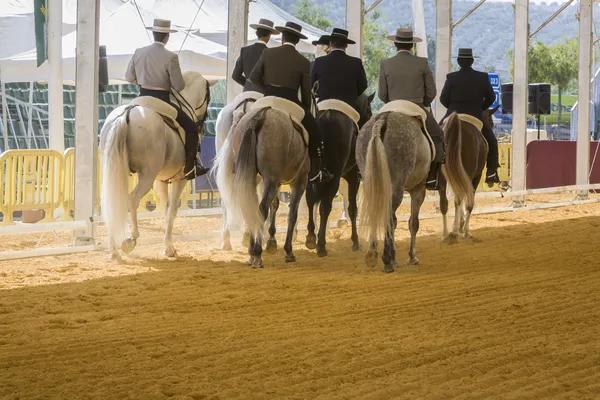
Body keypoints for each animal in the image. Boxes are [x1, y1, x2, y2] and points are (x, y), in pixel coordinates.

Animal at [102, 71, 213, 260]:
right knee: (132, 198)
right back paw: (130, 240)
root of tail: (127, 113)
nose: (202, 129)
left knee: (113, 201)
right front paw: (168, 248)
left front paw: (168, 246)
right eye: (208, 97)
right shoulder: (180, 179)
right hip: (146, 176)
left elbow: (165, 209)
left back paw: (114, 250)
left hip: (119, 171)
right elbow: (172, 211)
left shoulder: (160, 180)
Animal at [308, 92, 372, 258]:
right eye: (369, 111)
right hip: (335, 178)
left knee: (311, 201)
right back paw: (321, 245)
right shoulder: (353, 177)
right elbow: (352, 209)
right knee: (325, 207)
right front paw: (355, 241)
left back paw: (311, 237)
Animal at [356, 110, 432, 272]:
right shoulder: (418, 189)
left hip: (371, 182)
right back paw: (386, 260)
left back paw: (372, 254)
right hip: (397, 186)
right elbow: (413, 223)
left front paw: (395, 258)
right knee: (389, 217)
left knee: (376, 211)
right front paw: (411, 257)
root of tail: (384, 118)